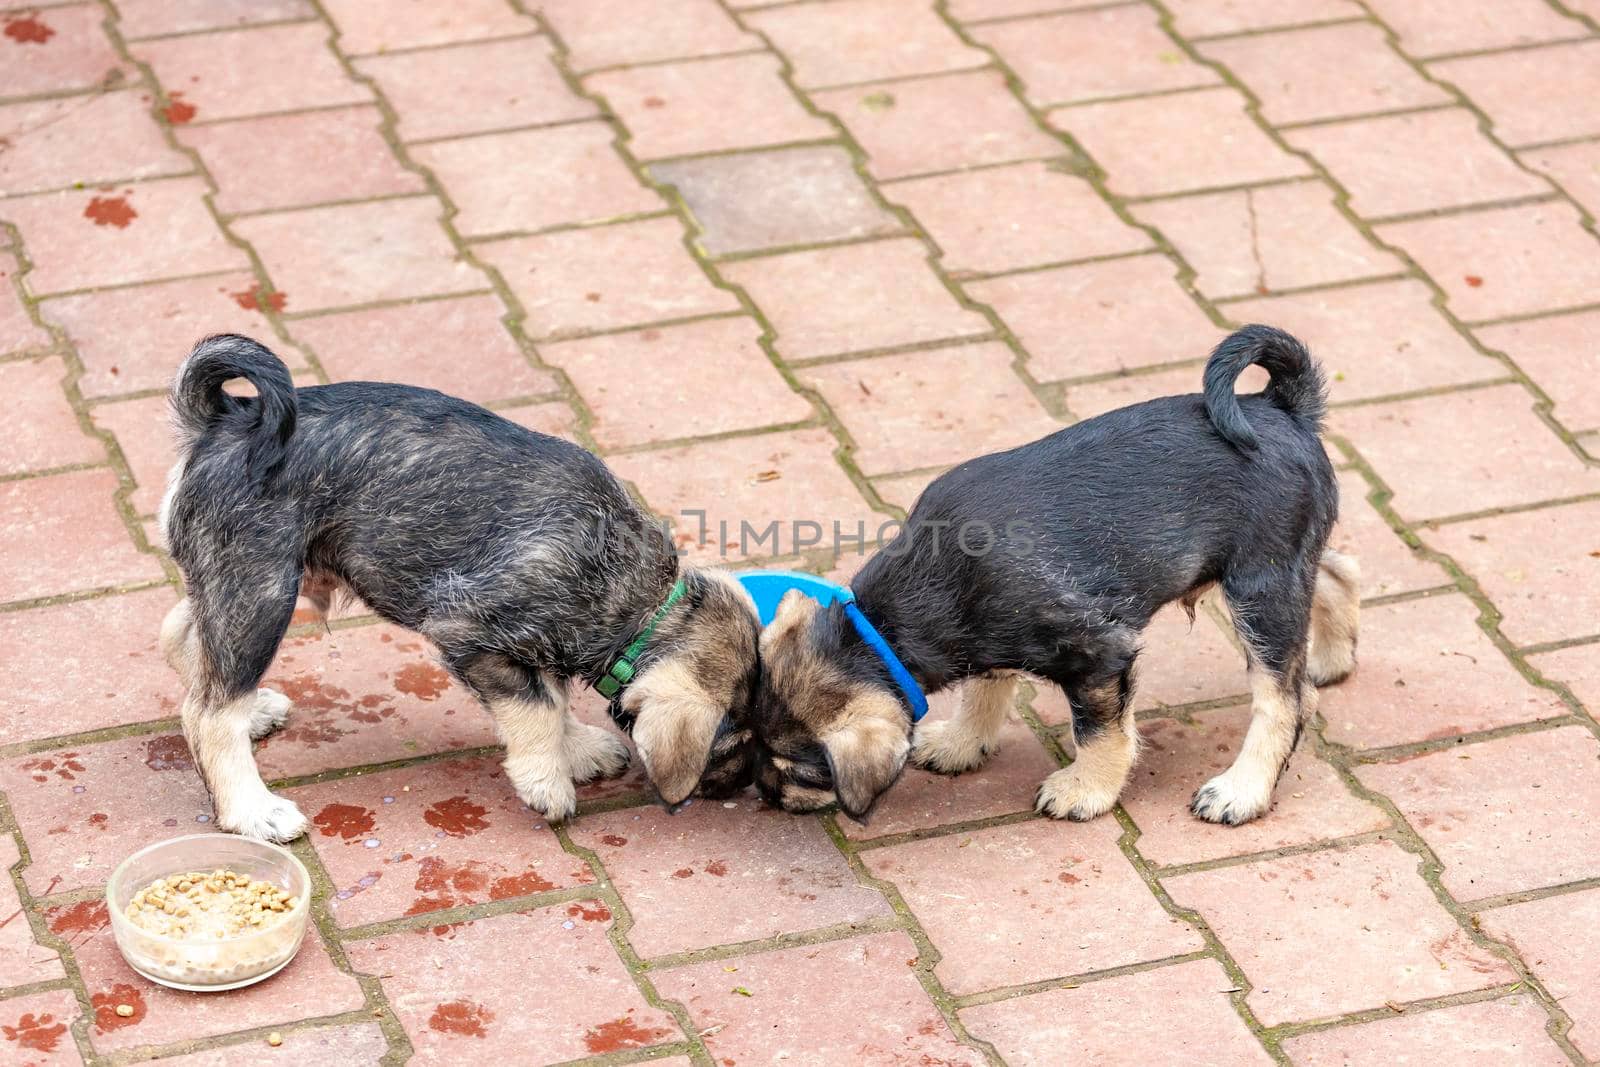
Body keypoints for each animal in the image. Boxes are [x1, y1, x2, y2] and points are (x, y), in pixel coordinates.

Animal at [159, 334, 758, 844]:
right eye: (729, 741)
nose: (743, 789)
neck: (637, 601)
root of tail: (228, 420)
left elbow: (554, 694)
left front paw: (577, 748)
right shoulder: (469, 630)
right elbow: (538, 706)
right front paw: (547, 779)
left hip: (242, 580)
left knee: (183, 639)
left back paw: (254, 710)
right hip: (261, 591)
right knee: (208, 711)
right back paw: (253, 811)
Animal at [755, 326, 1356, 825]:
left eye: (801, 770)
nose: (764, 796)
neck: (886, 623)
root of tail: (1283, 409)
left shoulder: (1099, 656)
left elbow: (1098, 732)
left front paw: (1085, 790)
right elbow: (986, 685)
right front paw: (962, 743)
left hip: (1259, 586)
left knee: (1286, 699)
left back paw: (1241, 790)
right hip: (1263, 569)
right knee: (1336, 572)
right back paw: (1333, 657)